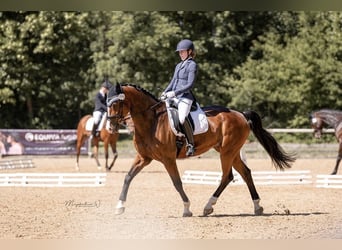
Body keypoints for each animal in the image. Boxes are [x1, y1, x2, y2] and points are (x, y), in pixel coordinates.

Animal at [107, 83, 294, 217]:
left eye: (116, 103)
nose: (110, 127)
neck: (152, 122)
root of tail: (240, 114)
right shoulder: (143, 157)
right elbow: (128, 177)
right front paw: (119, 207)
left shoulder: (168, 159)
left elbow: (177, 182)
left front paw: (187, 209)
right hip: (230, 151)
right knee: (245, 173)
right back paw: (257, 207)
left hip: (227, 152)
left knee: (227, 176)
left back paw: (208, 206)